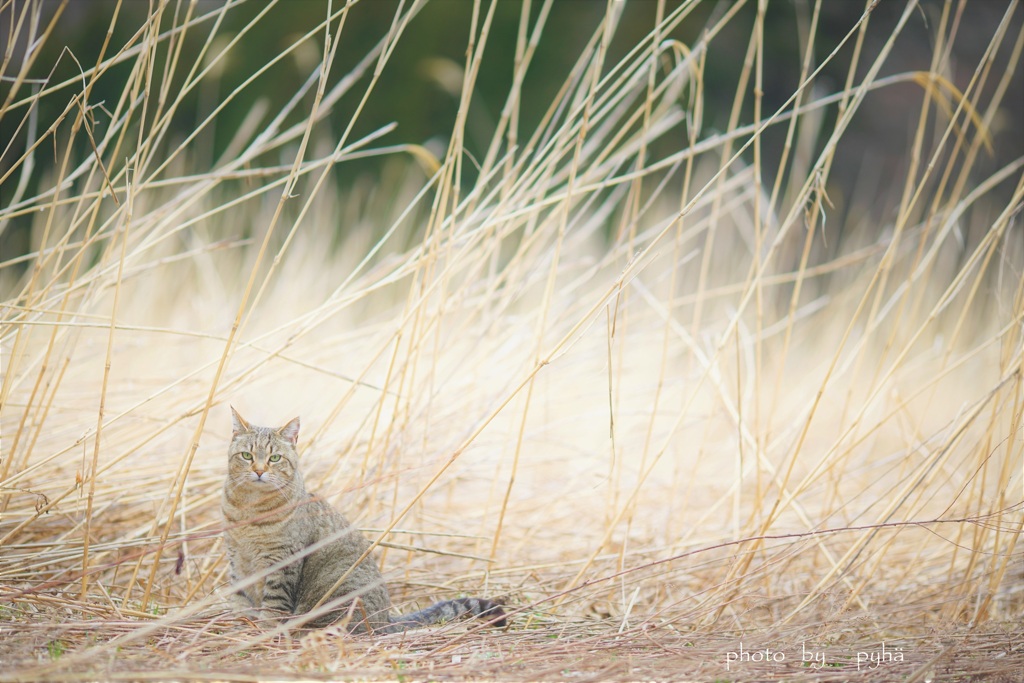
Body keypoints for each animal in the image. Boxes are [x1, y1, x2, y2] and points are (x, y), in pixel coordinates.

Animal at [220, 409, 503, 634]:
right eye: (247, 456)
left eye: (275, 458)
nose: (259, 471)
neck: (249, 508)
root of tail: (386, 618)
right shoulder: (236, 557)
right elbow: (239, 597)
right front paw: (241, 623)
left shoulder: (283, 562)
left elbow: (273, 604)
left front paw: (264, 630)